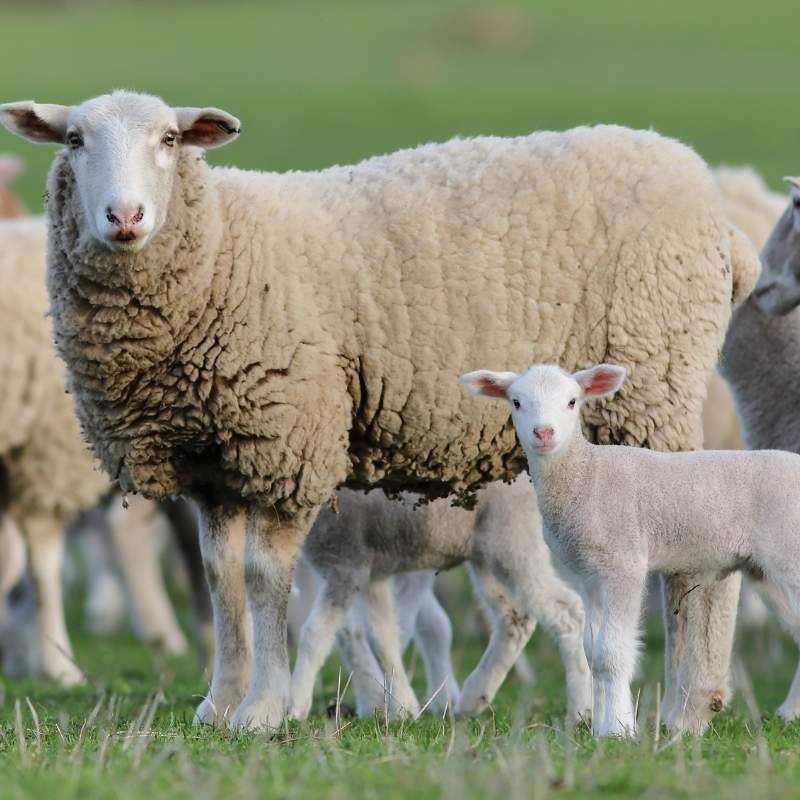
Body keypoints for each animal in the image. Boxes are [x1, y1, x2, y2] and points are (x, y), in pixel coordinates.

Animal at [291, 477, 590, 722]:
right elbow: (381, 636)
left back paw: (581, 709)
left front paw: (295, 706)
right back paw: (474, 697)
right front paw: (399, 706)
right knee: (515, 617)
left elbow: (316, 634)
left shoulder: (347, 565)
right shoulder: (370, 575)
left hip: (513, 541)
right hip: (486, 556)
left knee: (567, 611)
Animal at [463, 362, 800, 736]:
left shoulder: (623, 562)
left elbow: (612, 651)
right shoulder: (589, 575)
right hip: (766, 569)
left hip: (790, 551)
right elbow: (593, 651)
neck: (586, 475)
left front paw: (619, 729)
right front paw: (600, 727)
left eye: (572, 401)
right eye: (517, 402)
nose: (544, 433)